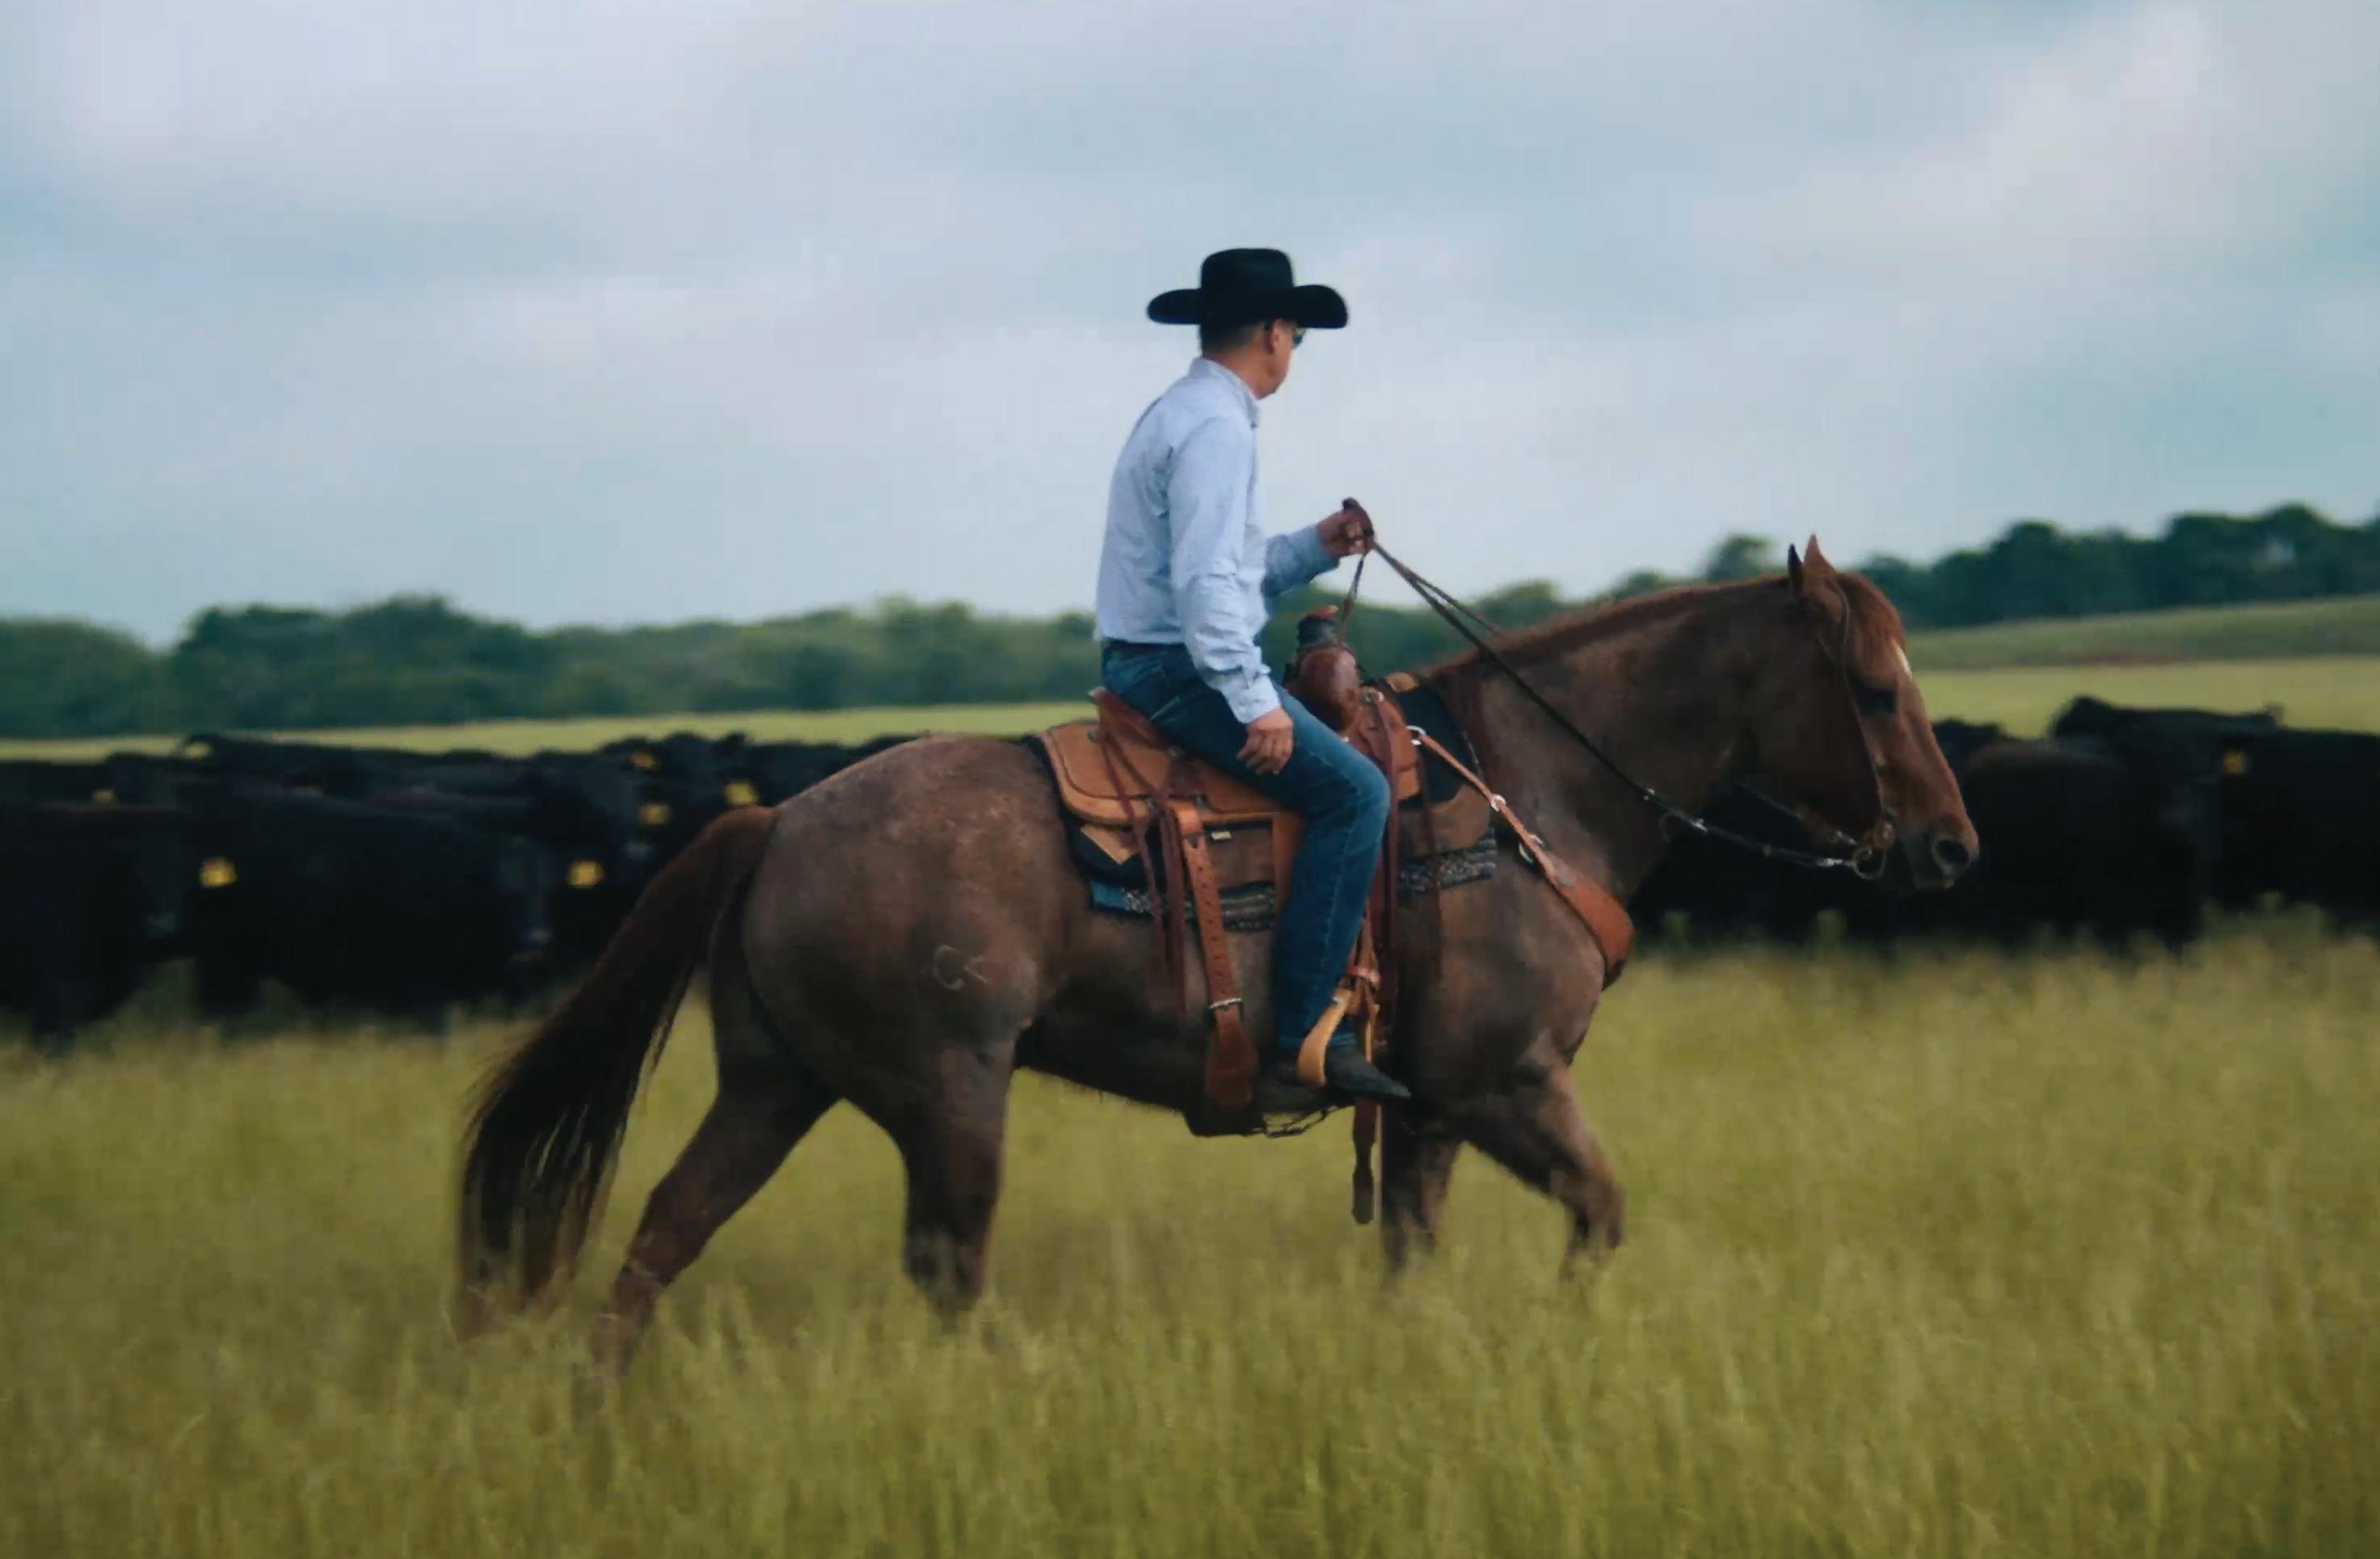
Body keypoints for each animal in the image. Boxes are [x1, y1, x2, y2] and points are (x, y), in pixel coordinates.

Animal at [456, 540, 1979, 1374]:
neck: (1527, 787)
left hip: (776, 1083)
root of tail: (773, 820)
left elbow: (1411, 1251)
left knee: (665, 1227)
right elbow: (1600, 1210)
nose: (1952, 844)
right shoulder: (1509, 1083)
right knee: (946, 1263)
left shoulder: (1427, 1109)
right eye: (1876, 687)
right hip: (948, 1093)